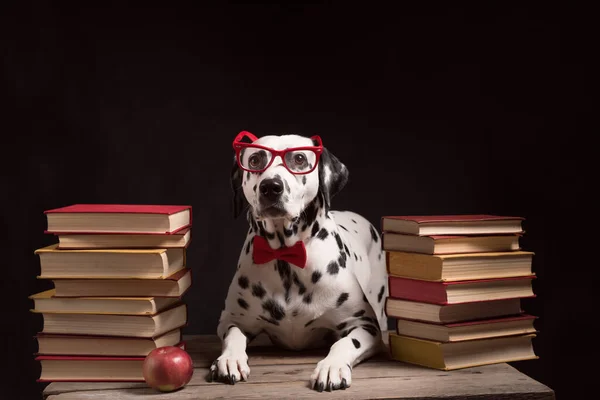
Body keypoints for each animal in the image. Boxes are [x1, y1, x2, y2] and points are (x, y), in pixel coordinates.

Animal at [210, 130, 390, 390]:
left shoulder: (365, 325)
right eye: (254, 160)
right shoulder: (232, 319)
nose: (271, 187)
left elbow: (344, 343)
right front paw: (230, 359)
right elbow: (233, 336)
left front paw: (331, 366)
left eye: (299, 159)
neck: (285, 256)